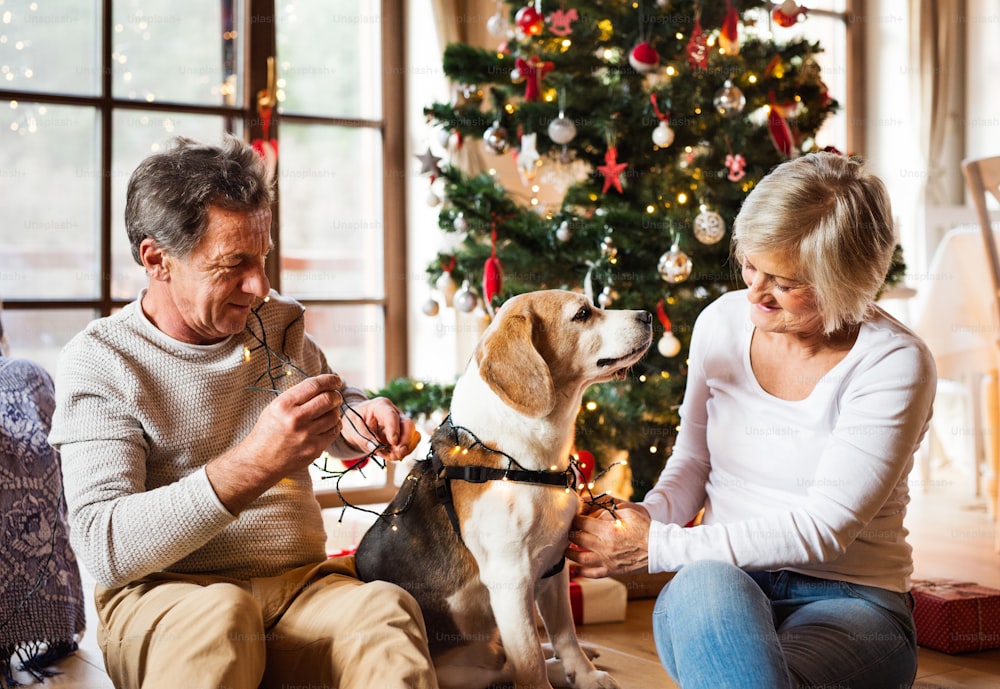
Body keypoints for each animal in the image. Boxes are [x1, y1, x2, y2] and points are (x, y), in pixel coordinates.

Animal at [356, 288, 652, 688]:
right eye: (582, 314)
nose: (648, 315)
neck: (525, 460)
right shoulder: (511, 583)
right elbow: (529, 662)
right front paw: (557, 674)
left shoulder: (554, 567)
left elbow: (566, 635)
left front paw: (585, 675)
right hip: (463, 669)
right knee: (504, 665)